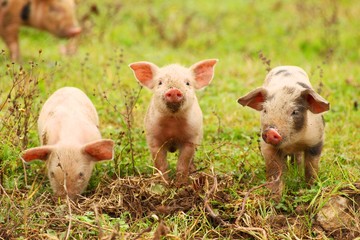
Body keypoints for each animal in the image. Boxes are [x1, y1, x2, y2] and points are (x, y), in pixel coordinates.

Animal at [130, 59, 218, 187]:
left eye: (187, 83)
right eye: (160, 82)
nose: (173, 90)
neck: (172, 122)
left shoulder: (191, 139)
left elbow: (182, 164)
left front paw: (180, 185)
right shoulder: (153, 139)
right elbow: (161, 165)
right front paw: (164, 185)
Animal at [238, 65, 330, 199]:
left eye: (295, 112)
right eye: (265, 110)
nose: (271, 131)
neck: (293, 142)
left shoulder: (316, 139)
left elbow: (311, 167)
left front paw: (310, 188)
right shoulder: (267, 146)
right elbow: (274, 170)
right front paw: (275, 197)